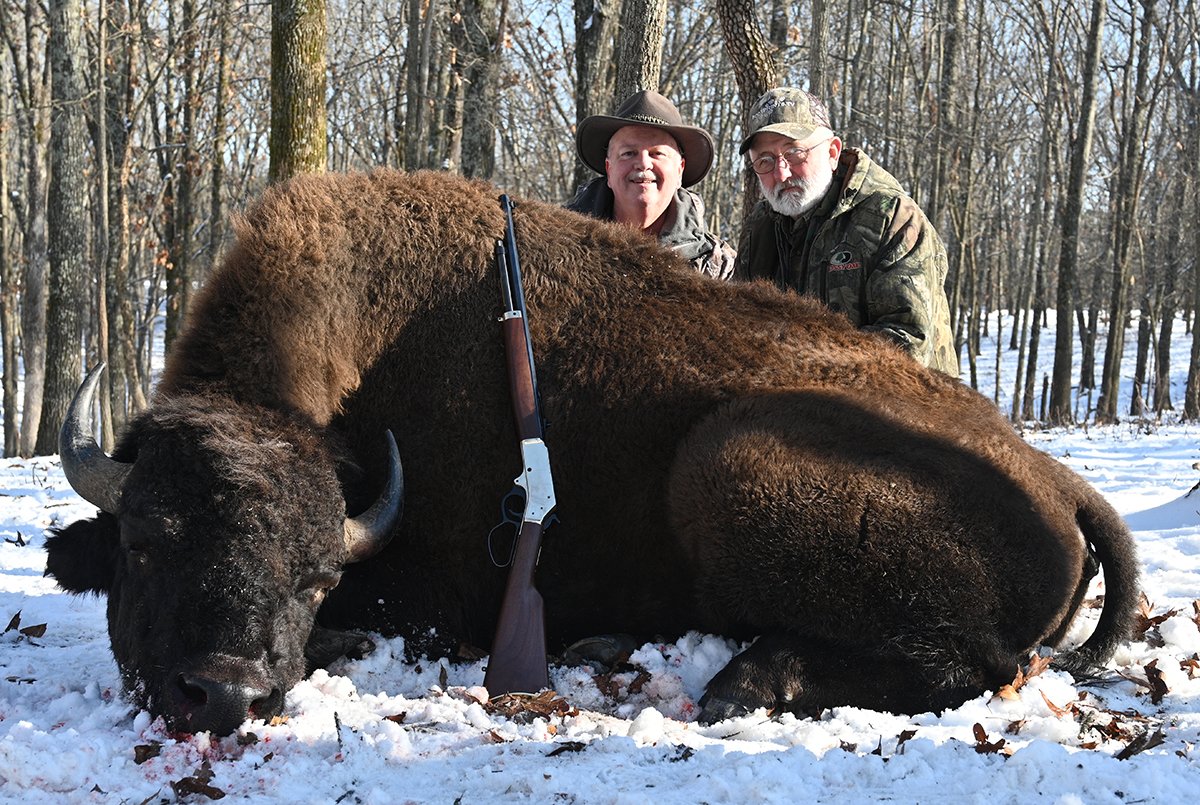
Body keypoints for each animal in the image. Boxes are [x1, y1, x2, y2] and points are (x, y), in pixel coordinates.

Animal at [46, 169, 1138, 736]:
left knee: (985, 663)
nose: (226, 693)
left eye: (318, 576)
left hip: (727, 460)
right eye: (144, 541)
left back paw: (745, 681)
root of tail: (1055, 477)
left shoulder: (431, 593)